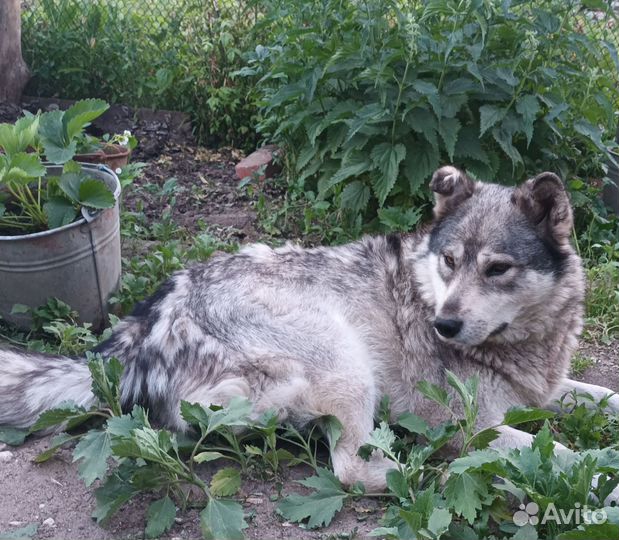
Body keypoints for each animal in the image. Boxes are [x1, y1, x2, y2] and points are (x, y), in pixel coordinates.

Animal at [1, 167, 619, 492]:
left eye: (496, 269)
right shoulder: (474, 426)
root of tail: (141, 332)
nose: (443, 325)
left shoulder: (542, 390)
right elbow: (561, 452)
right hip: (349, 368)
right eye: (450, 261)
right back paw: (430, 472)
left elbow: (600, 395)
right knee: (353, 468)